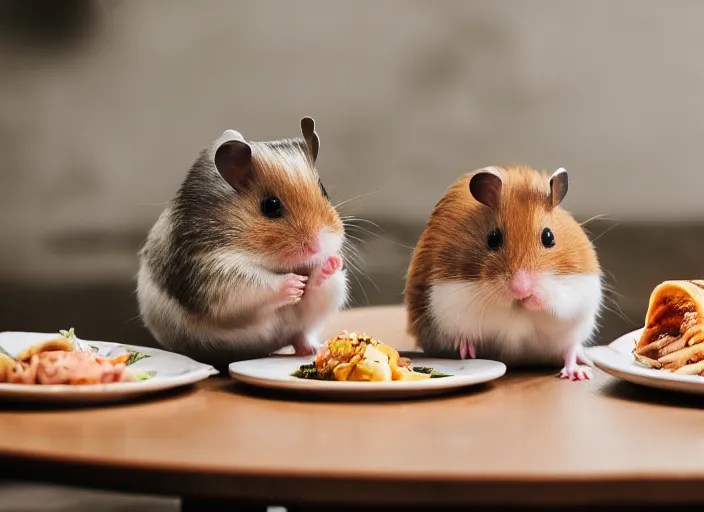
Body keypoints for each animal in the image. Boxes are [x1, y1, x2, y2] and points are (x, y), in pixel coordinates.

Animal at [137, 117, 348, 367]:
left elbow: (313, 289)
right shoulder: (214, 271)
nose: (318, 248)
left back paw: (313, 348)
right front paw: (295, 284)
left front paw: (331, 263)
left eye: (324, 192)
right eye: (270, 205)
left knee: (300, 334)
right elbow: (257, 284)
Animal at [404, 165, 602, 381]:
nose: (521, 290)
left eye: (549, 236)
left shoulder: (577, 290)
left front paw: (534, 298)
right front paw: (467, 350)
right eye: (493, 238)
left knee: (570, 349)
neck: (517, 306)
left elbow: (556, 299)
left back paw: (579, 371)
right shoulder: (451, 293)